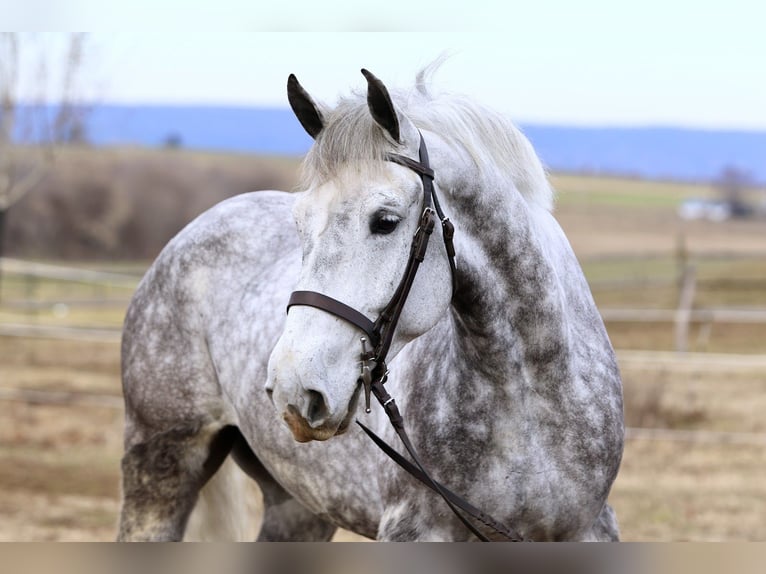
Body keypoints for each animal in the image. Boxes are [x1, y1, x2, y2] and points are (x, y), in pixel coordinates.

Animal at [116, 66, 624, 542]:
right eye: (299, 222)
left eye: (385, 221)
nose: (293, 389)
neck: (528, 400)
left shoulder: (589, 529)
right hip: (159, 469)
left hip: (299, 505)